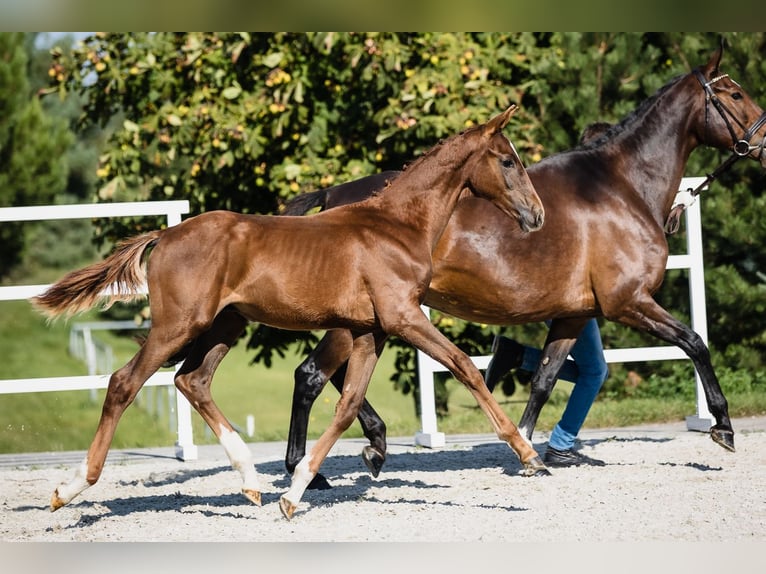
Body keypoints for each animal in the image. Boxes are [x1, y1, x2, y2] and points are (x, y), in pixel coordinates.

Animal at [31, 104, 544, 520]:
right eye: (507, 160)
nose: (537, 215)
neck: (396, 226)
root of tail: (165, 235)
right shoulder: (403, 318)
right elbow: (464, 367)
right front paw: (527, 455)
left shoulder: (371, 330)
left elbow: (348, 404)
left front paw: (295, 493)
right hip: (180, 324)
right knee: (125, 383)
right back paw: (70, 489)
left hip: (226, 323)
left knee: (192, 380)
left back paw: (251, 482)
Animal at [282, 42, 766, 488]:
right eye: (735, 94)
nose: (764, 143)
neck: (622, 187)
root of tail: (333, 196)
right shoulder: (628, 302)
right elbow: (695, 342)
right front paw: (723, 427)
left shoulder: (575, 314)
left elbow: (546, 378)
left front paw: (528, 447)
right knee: (313, 376)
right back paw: (331, 461)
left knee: (323, 376)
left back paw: (352, 454)